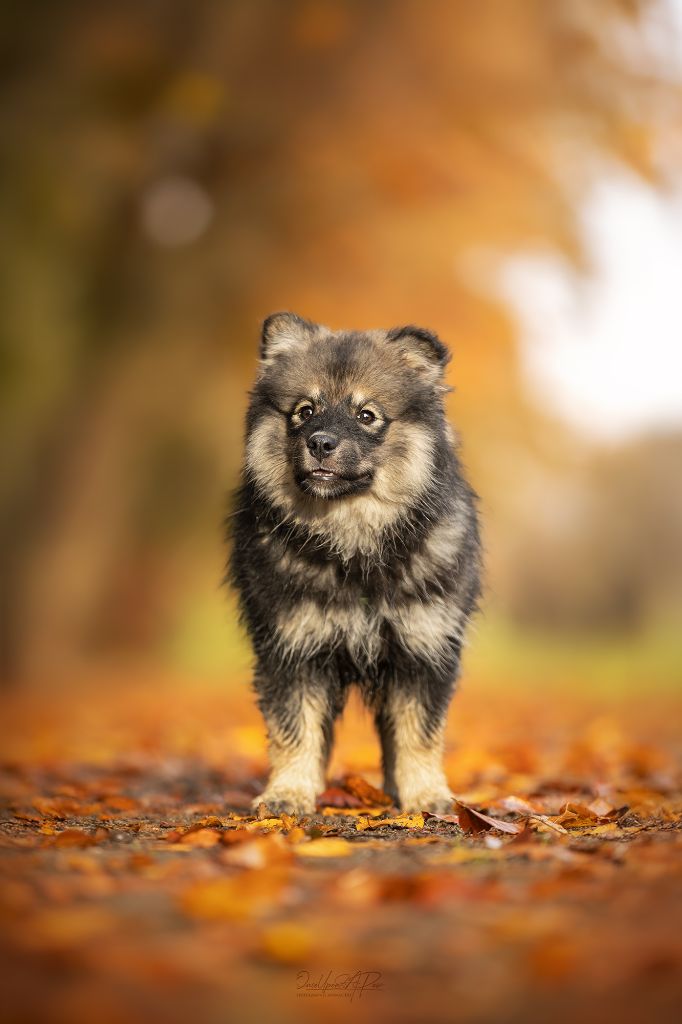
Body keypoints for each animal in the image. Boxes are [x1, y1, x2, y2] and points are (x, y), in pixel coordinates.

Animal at [231, 311, 481, 815]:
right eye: (305, 411)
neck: (353, 544)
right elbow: (294, 731)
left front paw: (428, 796)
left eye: (367, 415)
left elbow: (419, 736)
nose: (321, 442)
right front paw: (288, 793)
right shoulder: (291, 647)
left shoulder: (423, 649)